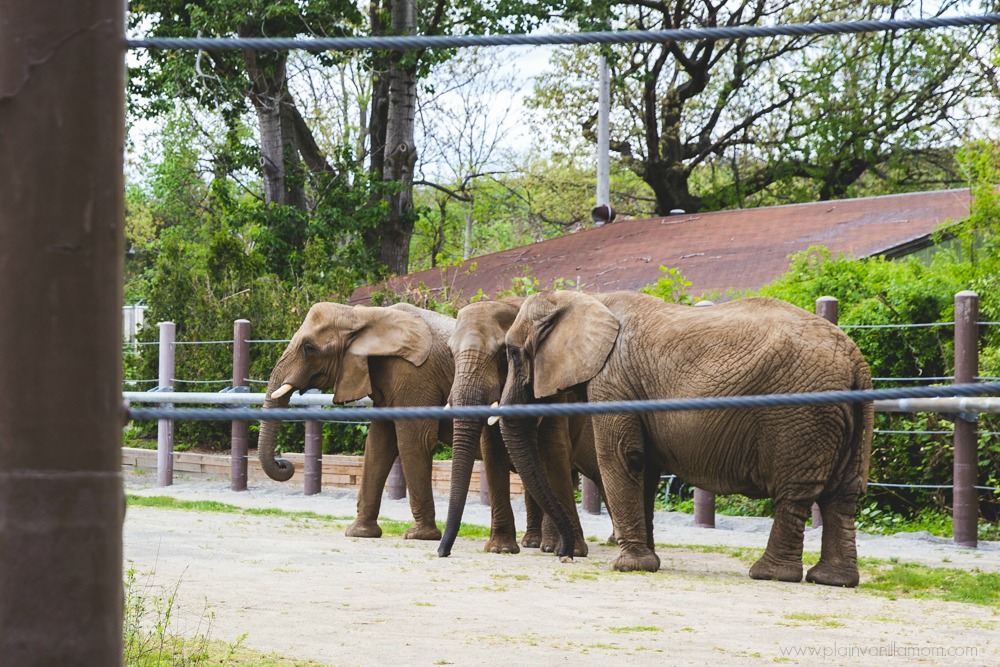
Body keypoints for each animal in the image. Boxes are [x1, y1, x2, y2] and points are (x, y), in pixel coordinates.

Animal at [259, 301, 455, 540]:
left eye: (309, 348)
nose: (284, 463)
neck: (362, 315)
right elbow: (379, 443)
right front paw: (360, 532)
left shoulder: (415, 374)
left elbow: (415, 441)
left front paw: (420, 535)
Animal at [437, 298, 609, 559]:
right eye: (451, 353)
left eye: (502, 354)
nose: (442, 552)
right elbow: (493, 453)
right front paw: (500, 549)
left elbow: (553, 450)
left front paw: (573, 551)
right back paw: (534, 542)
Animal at [499, 290, 873, 587]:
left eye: (513, 353)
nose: (565, 556)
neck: (584, 298)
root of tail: (856, 360)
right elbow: (644, 467)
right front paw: (647, 564)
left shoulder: (614, 381)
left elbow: (622, 457)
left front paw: (628, 566)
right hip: (846, 416)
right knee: (843, 494)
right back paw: (833, 580)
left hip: (799, 417)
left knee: (795, 495)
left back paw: (770, 574)